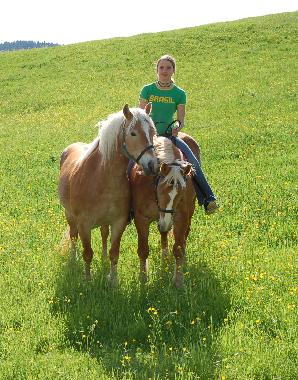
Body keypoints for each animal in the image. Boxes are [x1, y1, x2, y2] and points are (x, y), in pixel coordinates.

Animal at [58, 105, 158, 284]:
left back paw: (103, 258)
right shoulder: (84, 225)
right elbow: (87, 254)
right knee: (73, 236)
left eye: (152, 131)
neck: (100, 177)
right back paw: (73, 258)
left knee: (104, 234)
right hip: (69, 216)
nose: (152, 165)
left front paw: (113, 279)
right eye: (133, 133)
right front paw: (88, 280)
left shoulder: (118, 222)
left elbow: (114, 253)